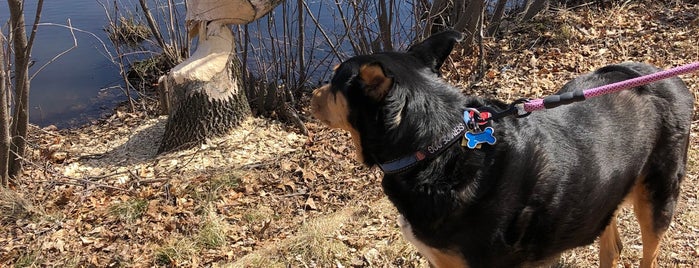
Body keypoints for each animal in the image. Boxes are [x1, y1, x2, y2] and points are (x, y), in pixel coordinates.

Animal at [310, 30, 696, 266]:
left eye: (335, 80)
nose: (312, 94)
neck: (439, 146)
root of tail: (672, 80)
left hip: (658, 198)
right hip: (602, 195)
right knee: (611, 246)